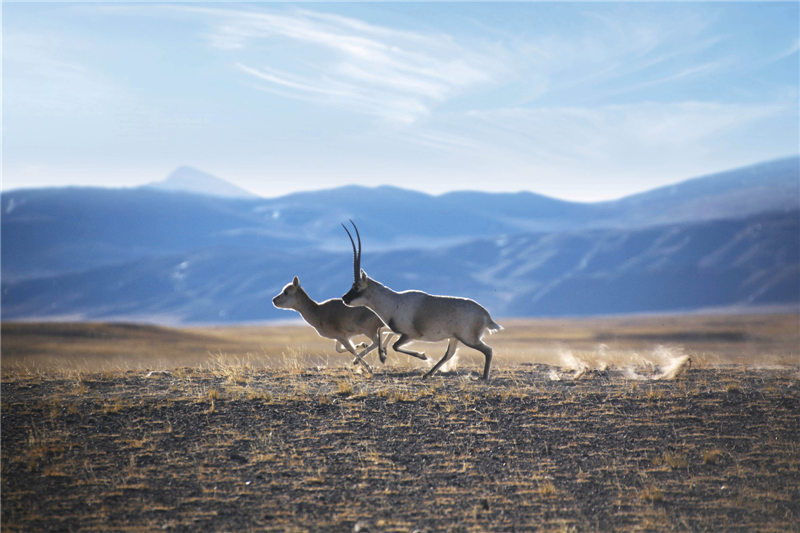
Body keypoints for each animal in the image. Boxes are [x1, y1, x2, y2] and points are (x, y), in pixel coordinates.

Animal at [340, 219, 504, 378]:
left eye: (357, 286)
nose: (344, 299)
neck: (393, 302)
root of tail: (485, 315)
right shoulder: (397, 330)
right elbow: (382, 330)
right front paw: (382, 356)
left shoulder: (411, 335)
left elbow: (395, 346)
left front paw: (422, 356)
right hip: (455, 338)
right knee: (449, 354)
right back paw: (427, 374)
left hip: (468, 339)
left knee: (488, 350)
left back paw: (483, 377)